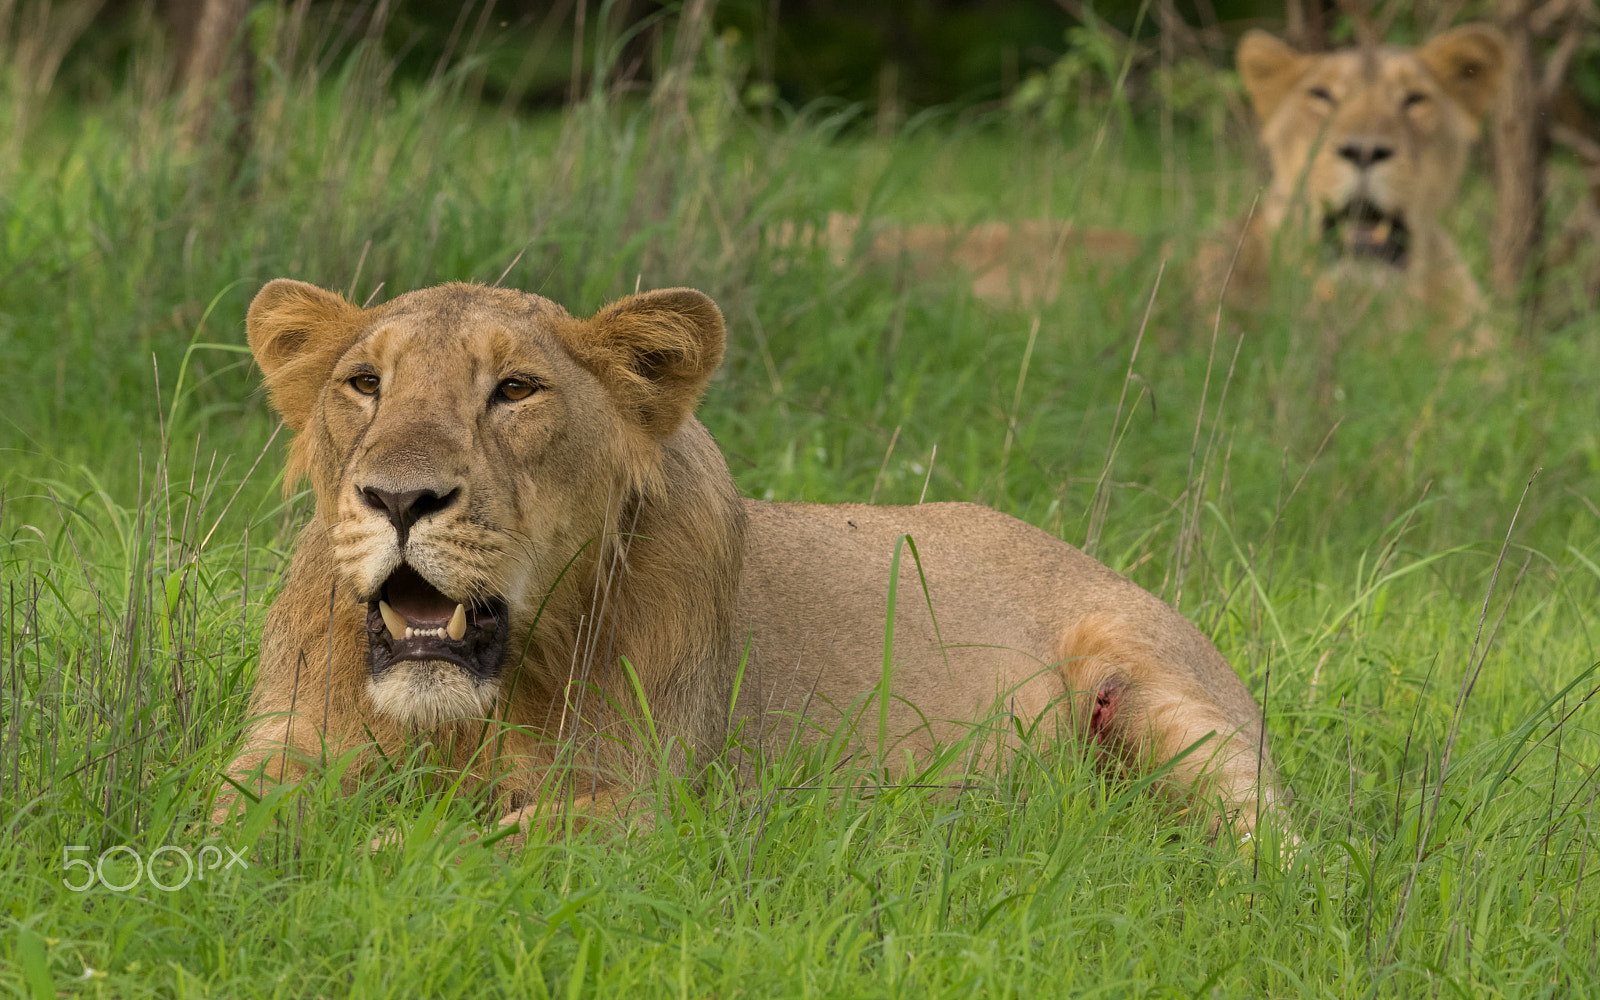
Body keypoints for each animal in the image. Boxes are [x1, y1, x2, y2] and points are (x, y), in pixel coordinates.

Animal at [216, 276, 1286, 838]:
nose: (399, 498)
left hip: (1175, 703)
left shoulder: (632, 797)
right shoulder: (282, 754)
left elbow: (460, 845)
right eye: (365, 382)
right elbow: (236, 827)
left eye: (515, 389)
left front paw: (391, 842)